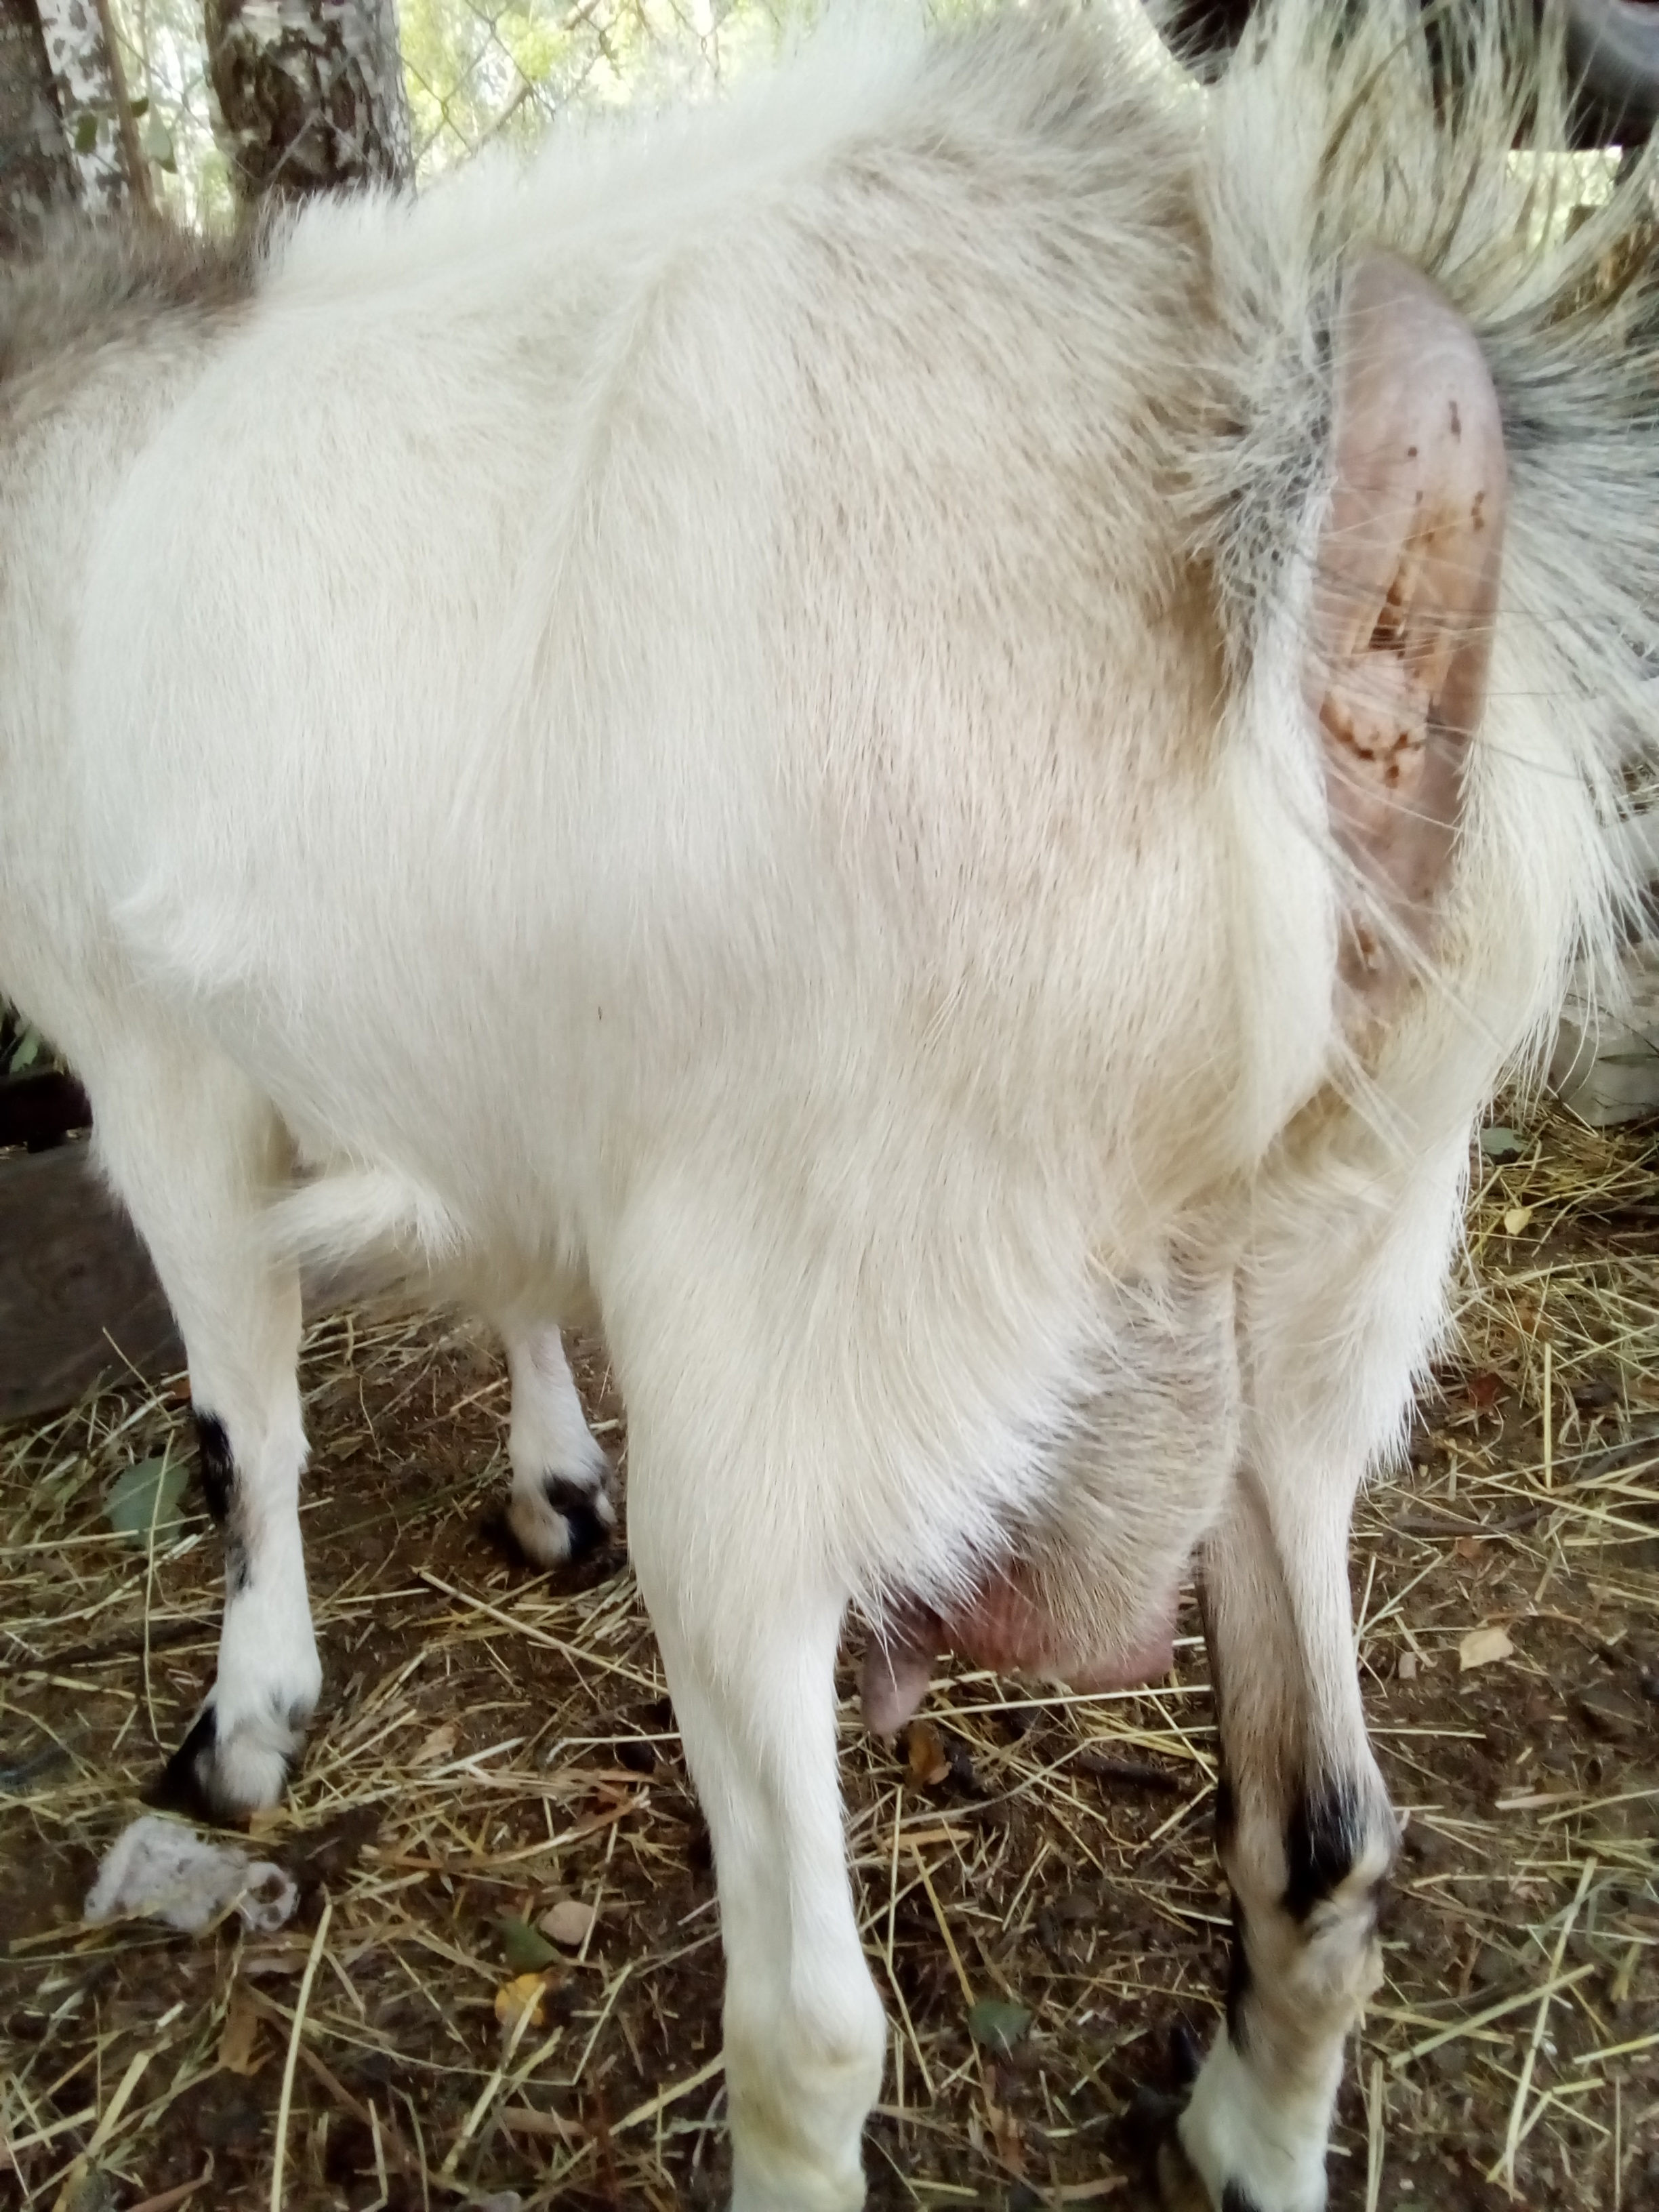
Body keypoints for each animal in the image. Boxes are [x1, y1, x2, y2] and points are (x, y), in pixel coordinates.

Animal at [2, 4, 1655, 2205]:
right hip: (1331, 1283)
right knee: (1328, 1831)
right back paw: (1246, 2126)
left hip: (792, 1350)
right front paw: (548, 1484)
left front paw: (247, 1722)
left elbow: (238, 1425)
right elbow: (502, 1271)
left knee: (809, 2018)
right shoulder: (488, 1081)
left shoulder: (150, 1055)